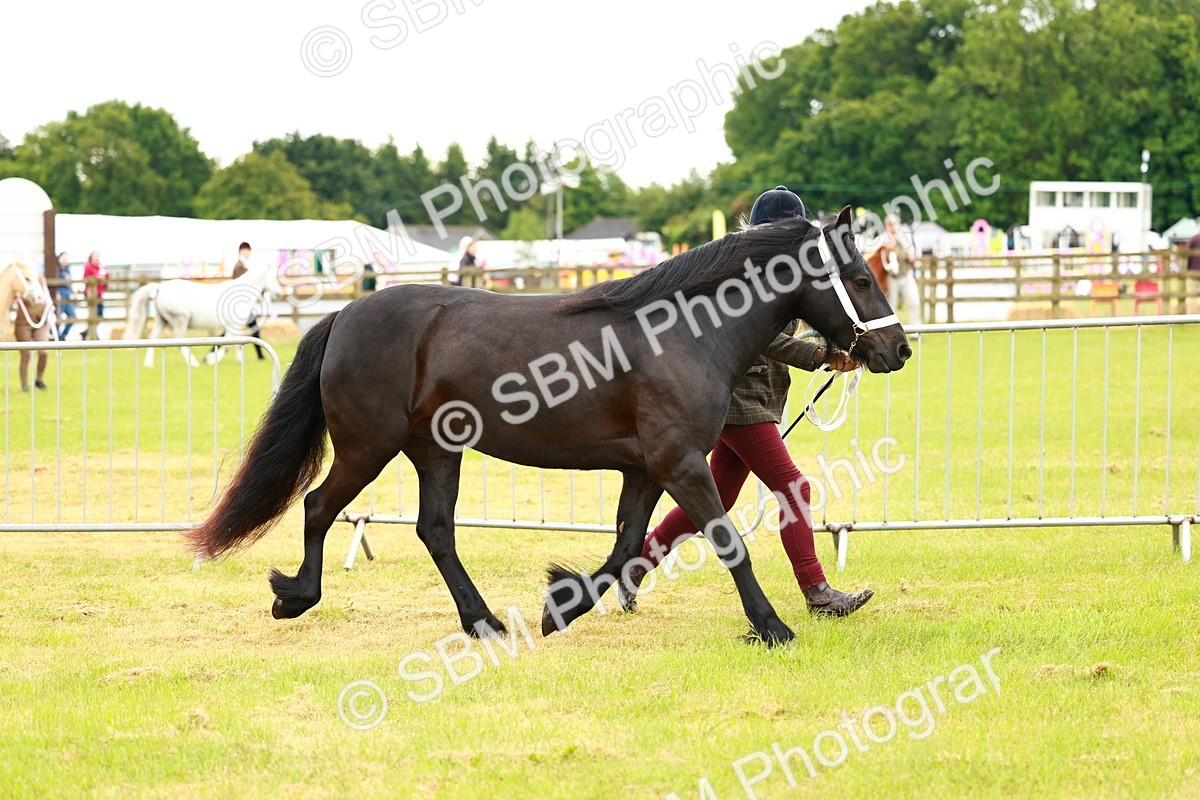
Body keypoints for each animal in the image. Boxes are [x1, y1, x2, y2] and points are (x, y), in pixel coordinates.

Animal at [124, 262, 280, 367]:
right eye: (273, 277)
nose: (279, 293)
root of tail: (160, 288)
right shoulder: (233, 324)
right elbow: (228, 344)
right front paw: (212, 360)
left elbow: (234, 343)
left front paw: (238, 360)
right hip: (179, 322)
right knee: (180, 343)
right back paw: (193, 363)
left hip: (162, 321)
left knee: (153, 338)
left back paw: (148, 364)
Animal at [188, 206, 911, 646]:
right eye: (857, 277)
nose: (897, 349)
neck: (681, 333)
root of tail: (344, 315)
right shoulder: (679, 464)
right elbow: (726, 541)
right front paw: (772, 627)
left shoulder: (646, 470)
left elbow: (626, 547)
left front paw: (561, 604)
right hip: (370, 447)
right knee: (318, 507)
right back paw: (295, 596)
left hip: (435, 451)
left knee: (436, 530)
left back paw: (483, 622)